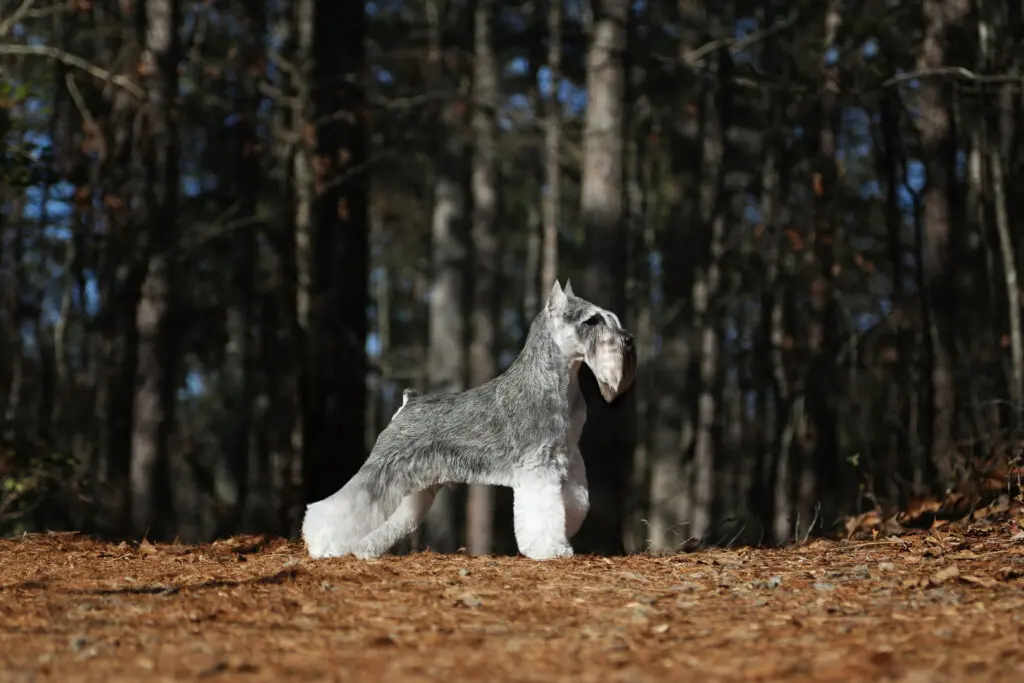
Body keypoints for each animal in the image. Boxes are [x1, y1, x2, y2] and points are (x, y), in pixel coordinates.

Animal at [299, 278, 634, 561]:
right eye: (591, 320)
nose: (628, 340)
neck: (555, 382)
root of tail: (408, 402)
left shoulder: (565, 460)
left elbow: (574, 501)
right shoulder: (539, 469)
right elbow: (545, 511)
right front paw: (551, 549)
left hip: (413, 488)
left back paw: (364, 550)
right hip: (383, 473)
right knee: (340, 506)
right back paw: (321, 544)